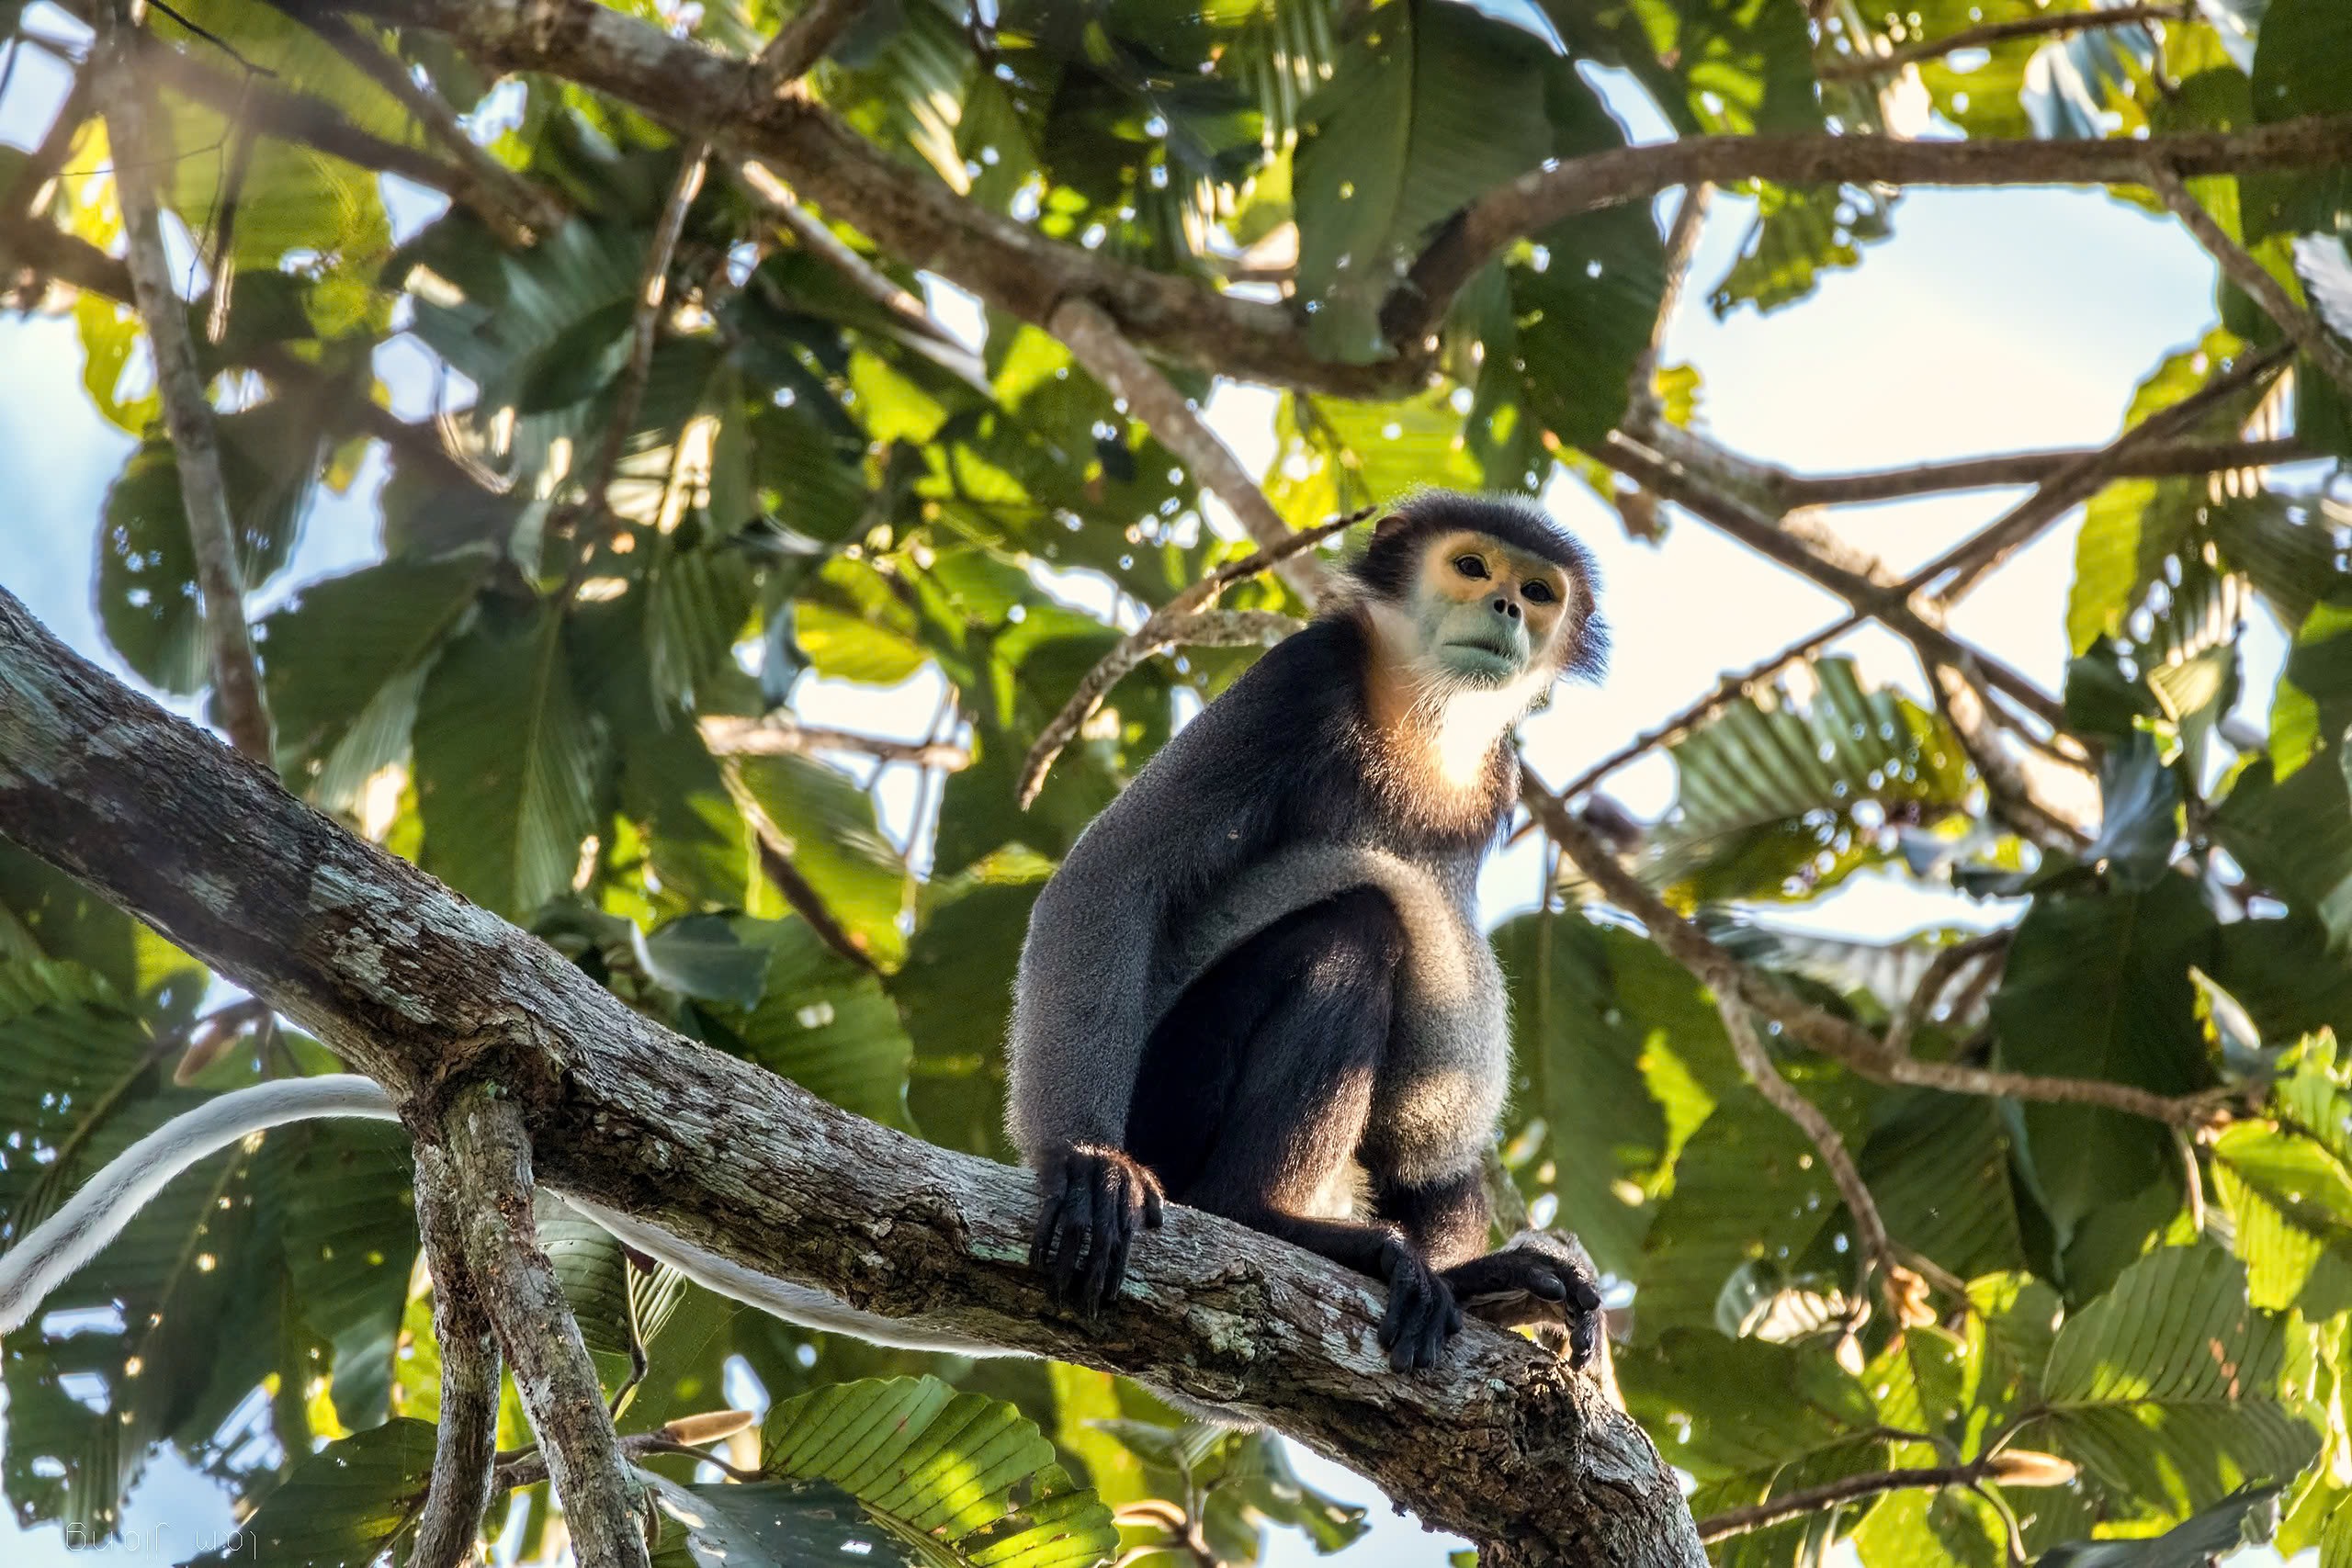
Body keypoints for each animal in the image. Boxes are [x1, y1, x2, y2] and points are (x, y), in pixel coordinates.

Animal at [1011, 491, 1618, 1372]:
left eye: (1539, 591)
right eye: (1472, 567)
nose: (1507, 606)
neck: (1423, 715)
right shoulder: (1300, 675)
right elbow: (1114, 871)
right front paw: (1086, 1161)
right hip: (1175, 1091)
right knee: (1355, 928)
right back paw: (1266, 1215)